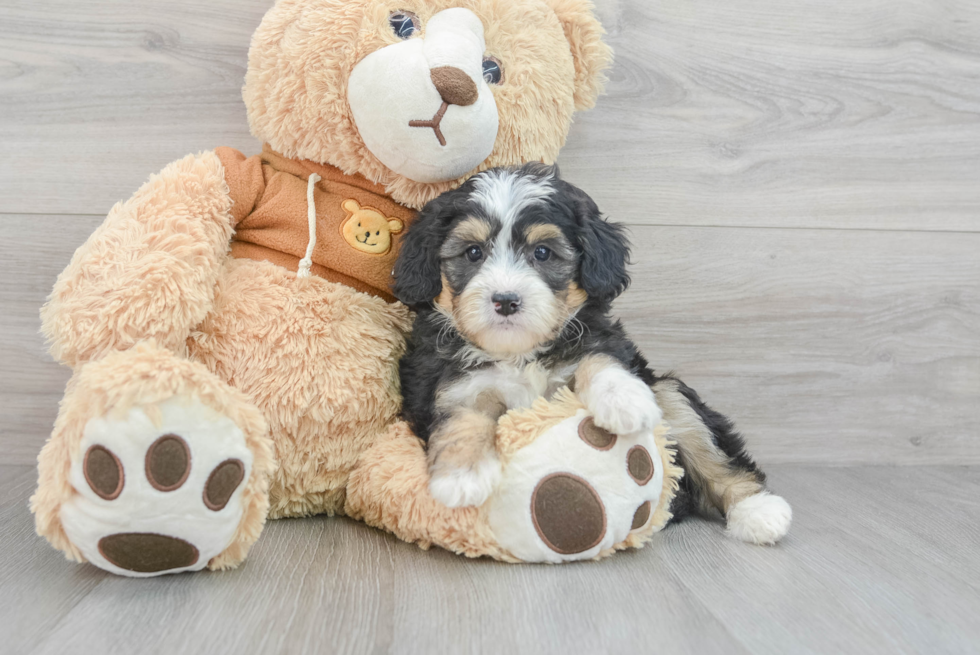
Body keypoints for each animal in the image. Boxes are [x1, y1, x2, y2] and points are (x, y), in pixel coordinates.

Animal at [390, 167, 788, 544]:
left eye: (542, 253)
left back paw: (758, 510)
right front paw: (462, 476)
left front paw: (623, 400)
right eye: (473, 252)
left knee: (711, 452)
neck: (521, 354)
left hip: (669, 392)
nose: (505, 300)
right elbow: (462, 414)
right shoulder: (444, 381)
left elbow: (598, 359)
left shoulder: (601, 341)